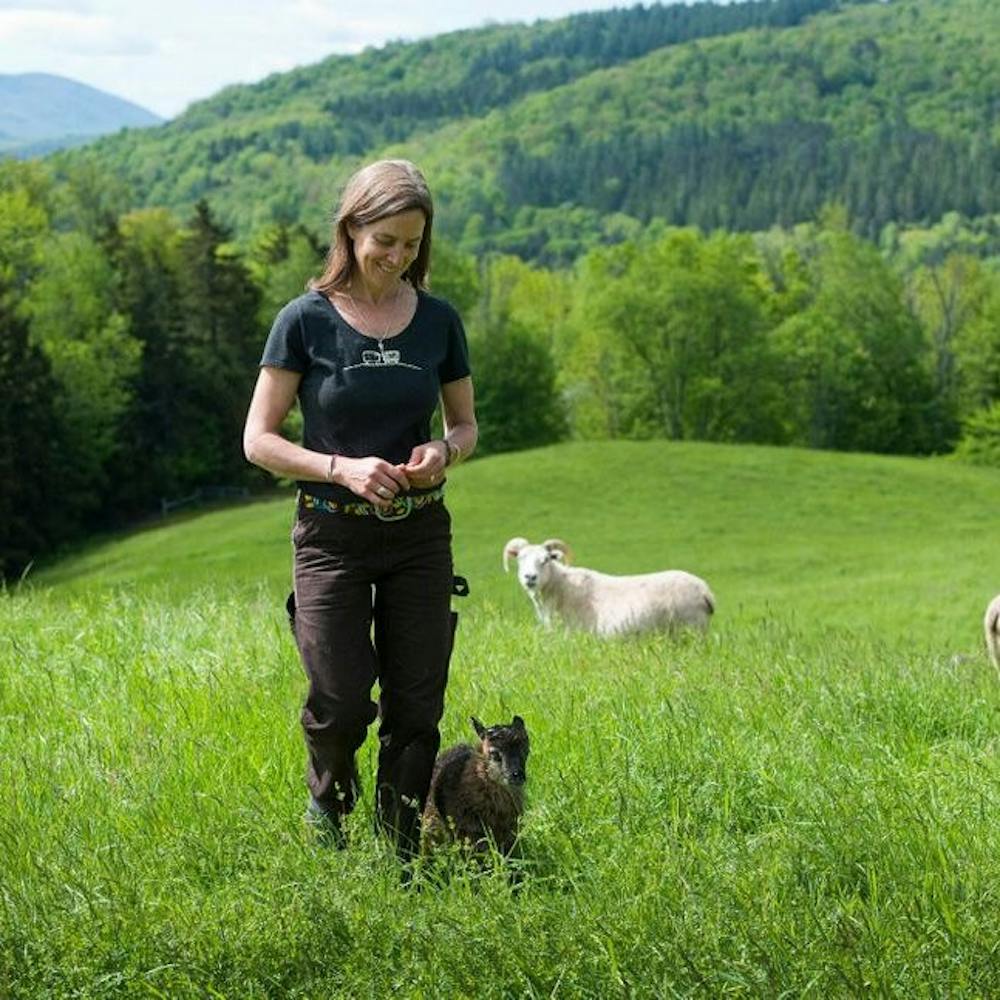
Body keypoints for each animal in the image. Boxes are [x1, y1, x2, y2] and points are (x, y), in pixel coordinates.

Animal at [504, 536, 716, 636]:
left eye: (546, 559)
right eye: (520, 559)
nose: (530, 577)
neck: (560, 588)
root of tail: (705, 591)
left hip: (691, 630)